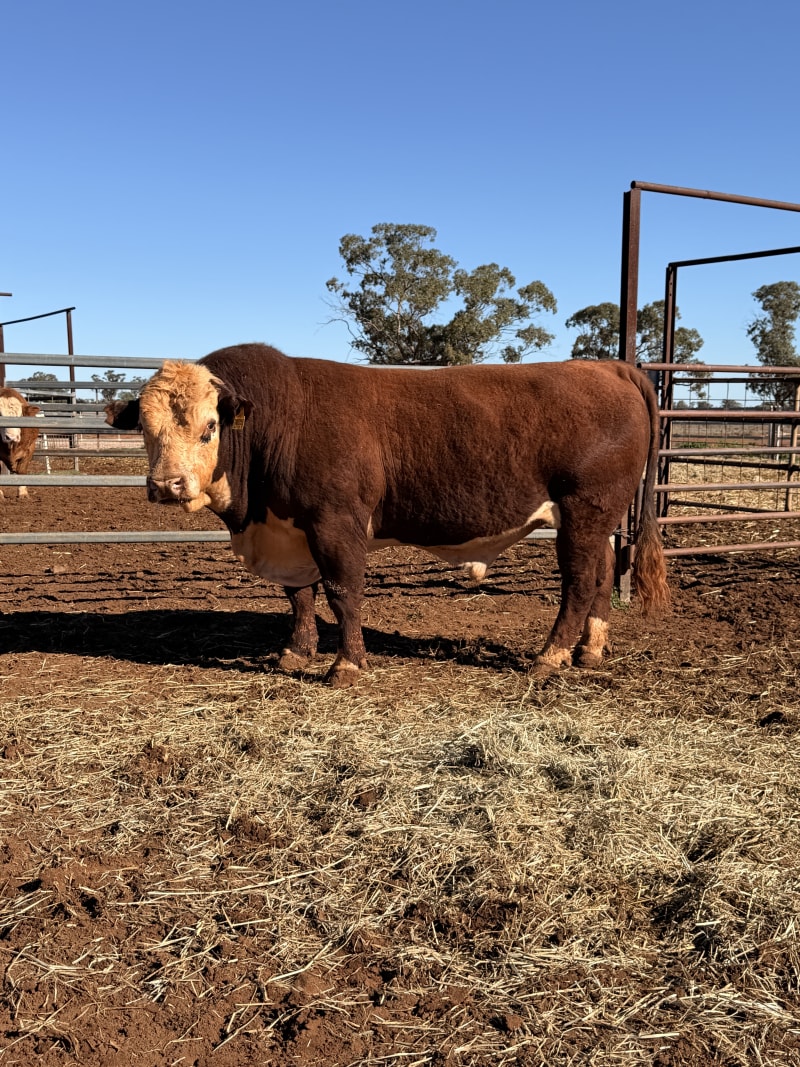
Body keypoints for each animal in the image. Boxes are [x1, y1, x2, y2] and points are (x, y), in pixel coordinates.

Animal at [106, 343, 669, 686]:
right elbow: (299, 596)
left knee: (578, 581)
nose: (166, 485)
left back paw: (548, 658)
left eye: (208, 428)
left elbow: (342, 593)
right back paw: (589, 650)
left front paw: (346, 665)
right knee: (601, 574)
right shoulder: (291, 531)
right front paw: (297, 652)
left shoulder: (335, 523)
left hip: (584, 509)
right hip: (598, 519)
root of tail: (607, 366)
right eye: (146, 430)